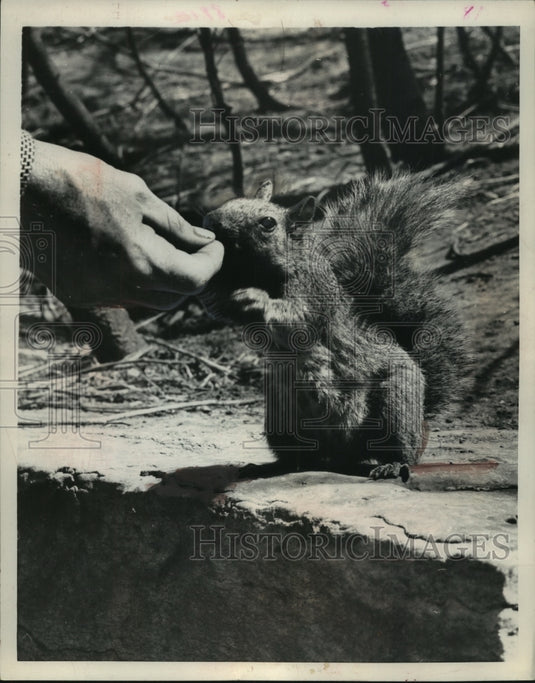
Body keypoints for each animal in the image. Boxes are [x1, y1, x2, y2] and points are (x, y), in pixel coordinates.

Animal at [201, 172, 466, 480]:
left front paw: (257, 299)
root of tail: (340, 455)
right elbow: (218, 306)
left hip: (396, 403)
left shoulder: (315, 294)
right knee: (298, 457)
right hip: (280, 420)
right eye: (230, 202)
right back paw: (273, 466)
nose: (211, 221)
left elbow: (300, 320)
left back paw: (392, 464)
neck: (259, 275)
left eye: (267, 223)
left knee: (402, 450)